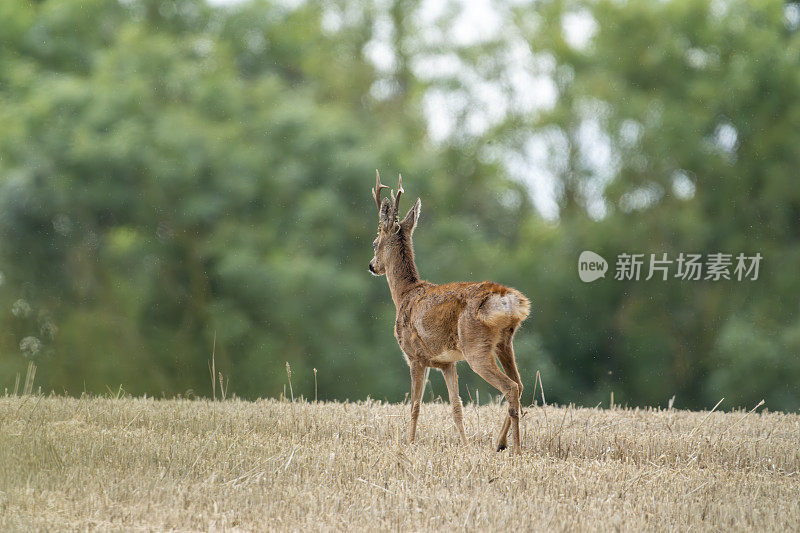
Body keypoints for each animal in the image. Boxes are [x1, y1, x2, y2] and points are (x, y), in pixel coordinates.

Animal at [370, 170, 532, 454]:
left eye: (374, 242)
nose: (371, 266)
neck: (404, 294)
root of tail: (508, 298)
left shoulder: (414, 355)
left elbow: (414, 406)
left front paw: (409, 444)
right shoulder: (447, 362)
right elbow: (456, 407)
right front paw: (465, 447)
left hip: (475, 346)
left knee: (511, 387)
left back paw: (516, 449)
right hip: (505, 342)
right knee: (520, 385)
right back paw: (499, 443)